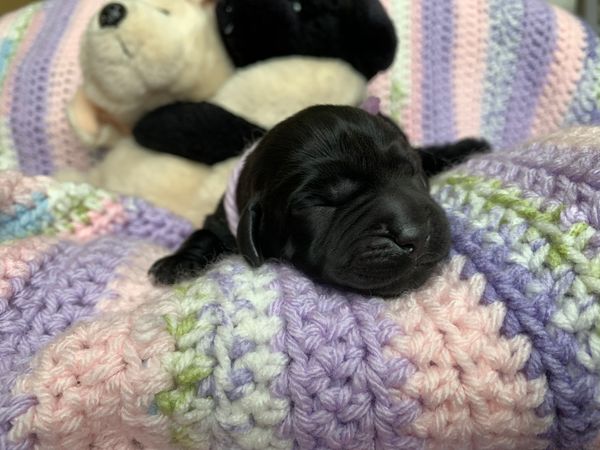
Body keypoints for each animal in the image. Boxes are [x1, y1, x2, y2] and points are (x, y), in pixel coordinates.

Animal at [149, 105, 488, 296]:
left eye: (410, 171)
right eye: (322, 203)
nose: (415, 235)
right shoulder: (221, 220)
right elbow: (204, 233)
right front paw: (178, 263)